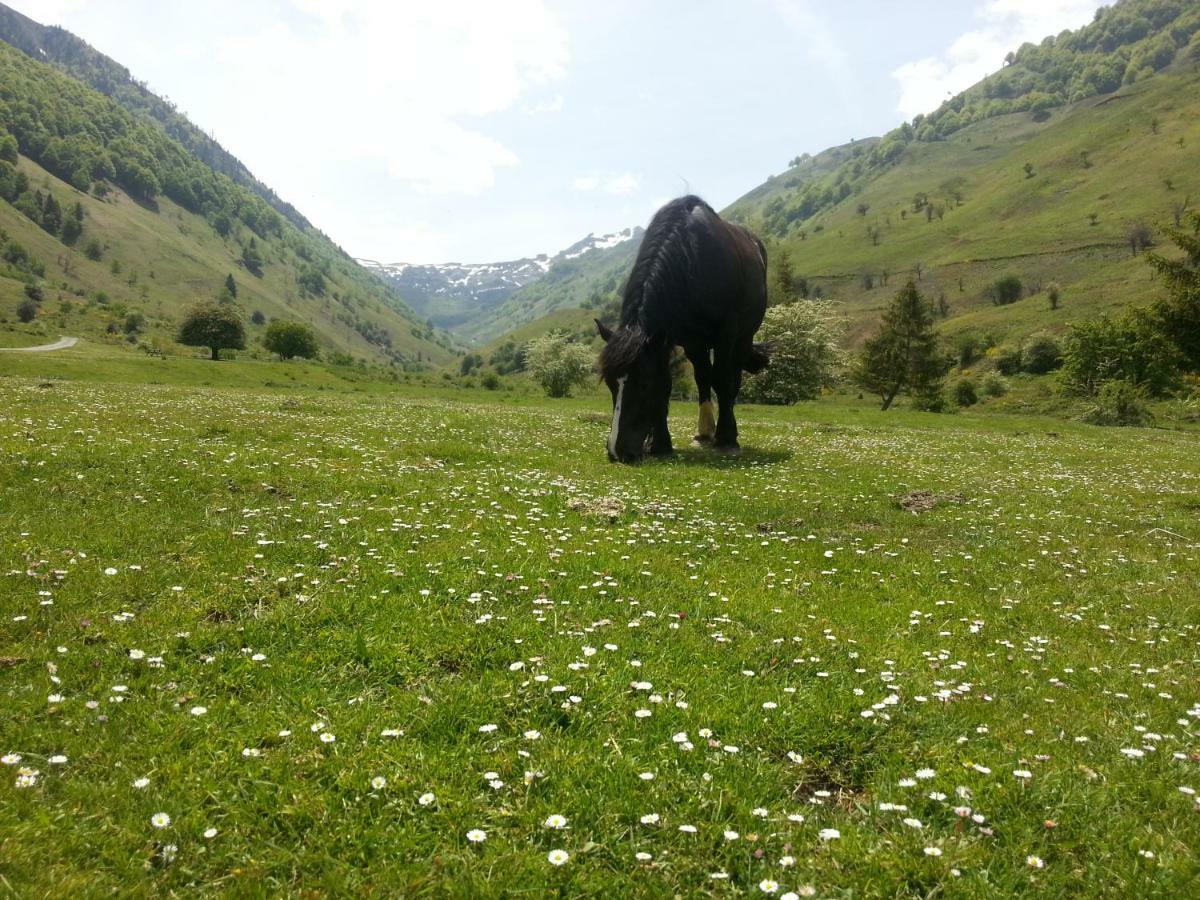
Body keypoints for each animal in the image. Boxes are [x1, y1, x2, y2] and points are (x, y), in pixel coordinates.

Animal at [592, 196, 768, 465]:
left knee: (731, 378)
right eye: (611, 384)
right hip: (696, 343)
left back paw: (725, 432)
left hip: (742, 338)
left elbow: (723, 381)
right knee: (703, 377)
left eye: (643, 384)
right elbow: (666, 384)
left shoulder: (726, 332)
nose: (617, 451)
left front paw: (727, 439)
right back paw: (704, 431)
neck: (693, 259)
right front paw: (660, 443)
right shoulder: (667, 338)